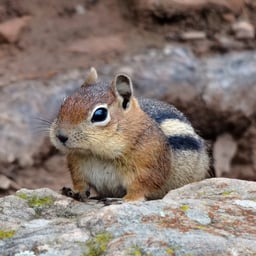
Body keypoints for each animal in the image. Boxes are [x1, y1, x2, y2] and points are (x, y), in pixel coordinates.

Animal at [50, 67, 210, 202]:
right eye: (64, 103)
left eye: (100, 114)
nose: (60, 136)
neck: (97, 154)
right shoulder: (77, 167)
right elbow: (80, 184)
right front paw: (74, 192)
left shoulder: (148, 168)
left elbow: (141, 188)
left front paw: (124, 200)